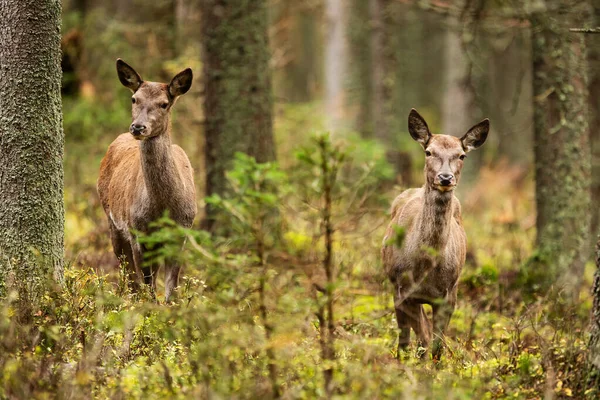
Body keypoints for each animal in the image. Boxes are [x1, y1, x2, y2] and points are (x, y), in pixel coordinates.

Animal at [97, 59, 197, 302]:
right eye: (134, 99)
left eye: (164, 104)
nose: (138, 127)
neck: (163, 208)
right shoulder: (137, 231)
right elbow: (148, 288)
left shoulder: (182, 231)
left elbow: (171, 291)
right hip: (112, 219)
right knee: (128, 275)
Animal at [382, 108, 490, 360]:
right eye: (428, 151)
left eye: (462, 155)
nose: (445, 177)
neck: (425, 266)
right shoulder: (403, 291)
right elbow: (421, 339)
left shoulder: (448, 297)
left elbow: (436, 346)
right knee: (405, 338)